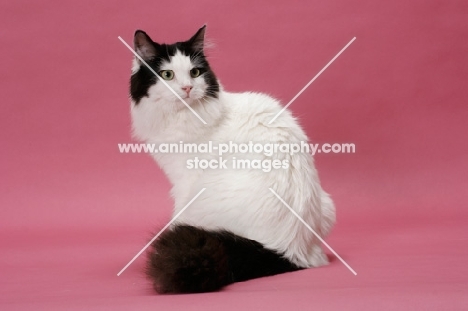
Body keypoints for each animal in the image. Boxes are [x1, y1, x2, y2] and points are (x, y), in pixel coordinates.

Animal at [127, 25, 336, 294]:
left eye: (194, 72)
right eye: (167, 74)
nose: (187, 88)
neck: (182, 116)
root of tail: (287, 250)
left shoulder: (184, 181)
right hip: (327, 205)